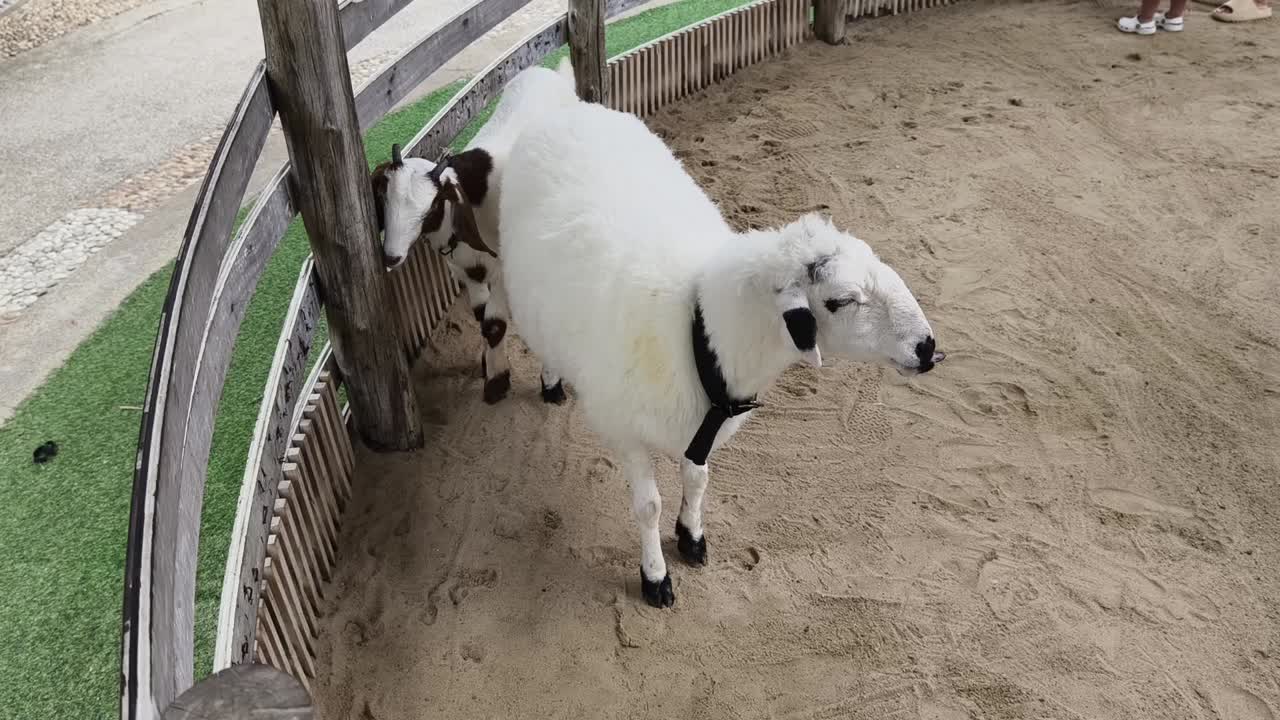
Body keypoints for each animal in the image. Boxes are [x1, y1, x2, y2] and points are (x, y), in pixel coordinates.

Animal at [369, 58, 579, 404]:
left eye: (432, 205)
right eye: (385, 198)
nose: (391, 256)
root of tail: (551, 73)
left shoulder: (506, 268)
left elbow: (496, 324)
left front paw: (506, 383)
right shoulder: (467, 270)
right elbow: (482, 317)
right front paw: (488, 366)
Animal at [498, 101, 946, 608]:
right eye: (841, 300)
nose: (928, 347)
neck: (699, 330)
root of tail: (570, 107)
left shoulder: (703, 427)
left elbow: (698, 479)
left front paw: (691, 536)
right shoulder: (626, 430)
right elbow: (648, 507)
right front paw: (655, 576)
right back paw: (552, 381)